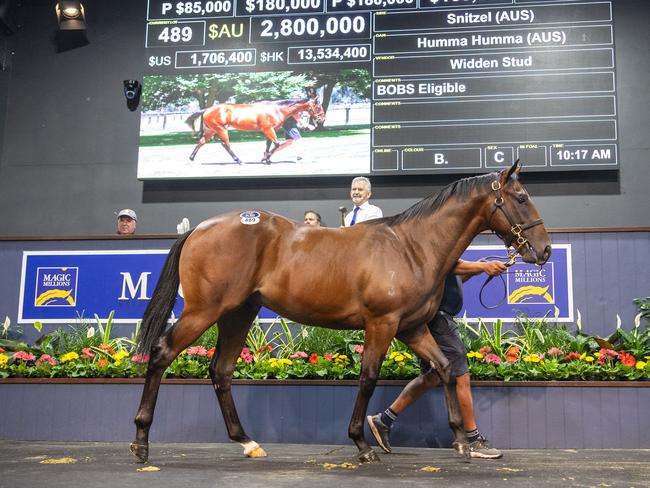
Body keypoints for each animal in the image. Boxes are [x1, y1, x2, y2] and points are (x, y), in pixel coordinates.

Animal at [129, 161, 548, 466]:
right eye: (521, 196)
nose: (543, 250)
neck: (411, 247)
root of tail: (198, 228)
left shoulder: (411, 328)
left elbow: (444, 369)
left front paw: (461, 440)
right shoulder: (382, 324)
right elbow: (368, 379)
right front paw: (362, 444)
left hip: (238, 313)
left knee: (221, 370)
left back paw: (247, 442)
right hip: (205, 310)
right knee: (163, 354)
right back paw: (141, 443)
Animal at [184, 98, 324, 165]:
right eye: (318, 107)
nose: (321, 119)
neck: (276, 109)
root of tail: (206, 109)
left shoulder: (270, 130)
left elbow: (269, 144)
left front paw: (266, 159)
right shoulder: (268, 129)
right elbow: (276, 144)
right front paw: (266, 158)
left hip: (211, 130)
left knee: (201, 142)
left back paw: (191, 158)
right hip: (221, 129)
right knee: (225, 144)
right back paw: (238, 160)